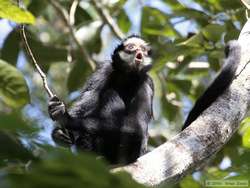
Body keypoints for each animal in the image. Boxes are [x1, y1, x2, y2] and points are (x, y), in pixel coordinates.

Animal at [48, 35, 154, 164]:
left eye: (143, 49)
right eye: (131, 47)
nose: (139, 51)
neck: (127, 78)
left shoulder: (146, 82)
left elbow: (136, 127)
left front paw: (67, 118)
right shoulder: (104, 68)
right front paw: (58, 134)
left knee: (110, 94)